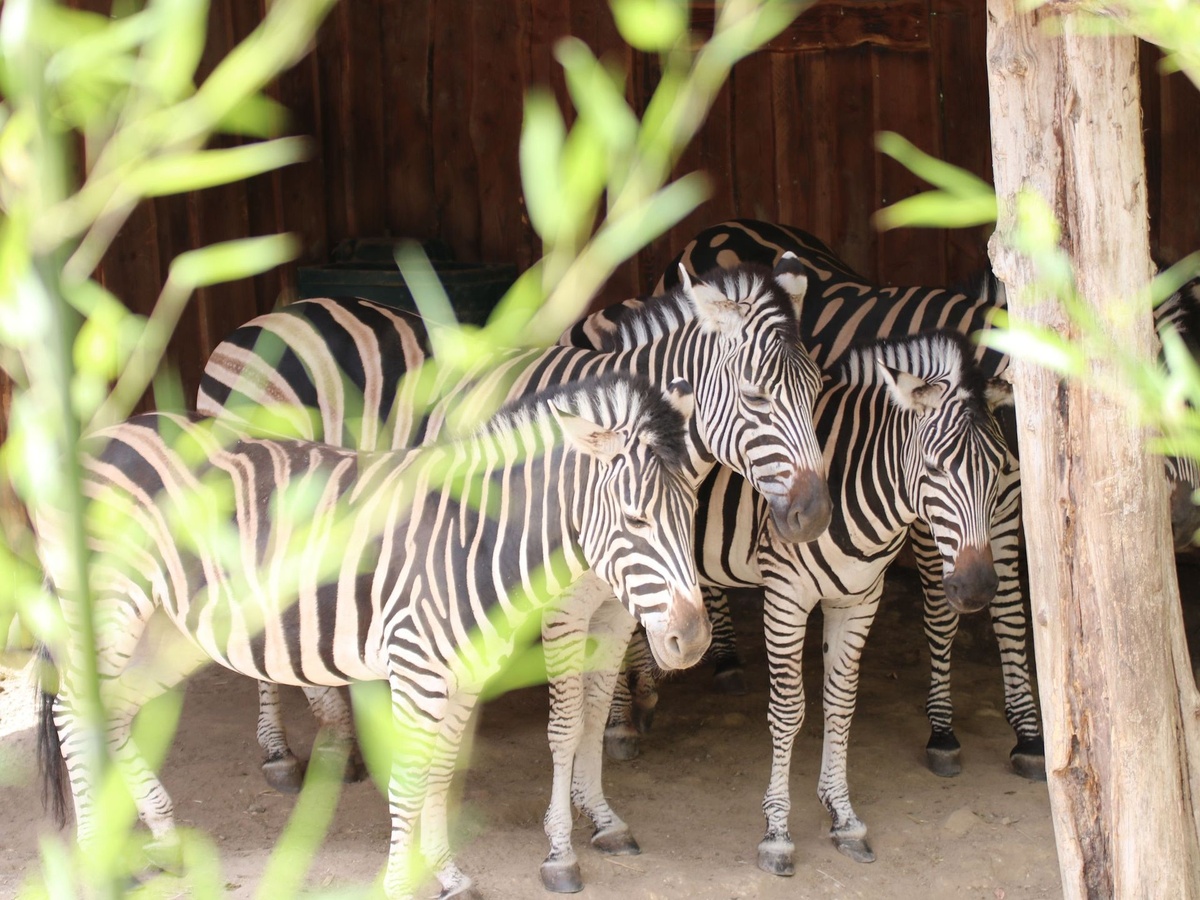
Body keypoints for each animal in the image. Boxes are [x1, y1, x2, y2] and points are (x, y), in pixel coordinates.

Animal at [37, 375, 710, 900]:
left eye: (692, 512)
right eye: (636, 521)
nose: (694, 639)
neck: (474, 537)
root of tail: (105, 436)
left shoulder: (462, 676)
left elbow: (438, 774)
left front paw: (449, 876)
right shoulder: (416, 670)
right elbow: (409, 782)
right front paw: (400, 885)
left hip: (168, 631)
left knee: (111, 714)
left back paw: (163, 838)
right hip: (107, 609)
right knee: (74, 715)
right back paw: (100, 865)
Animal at [196, 259, 832, 890]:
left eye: (818, 390)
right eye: (755, 395)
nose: (815, 515)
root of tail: (264, 319)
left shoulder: (616, 607)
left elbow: (595, 711)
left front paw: (603, 817)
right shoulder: (558, 608)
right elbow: (566, 724)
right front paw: (560, 850)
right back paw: (281, 755)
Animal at [611, 331, 1012, 871]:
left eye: (999, 469)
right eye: (932, 468)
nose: (976, 588)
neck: (854, 481)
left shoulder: (860, 598)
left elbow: (841, 703)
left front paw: (842, 816)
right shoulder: (786, 594)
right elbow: (788, 710)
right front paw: (777, 833)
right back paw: (619, 725)